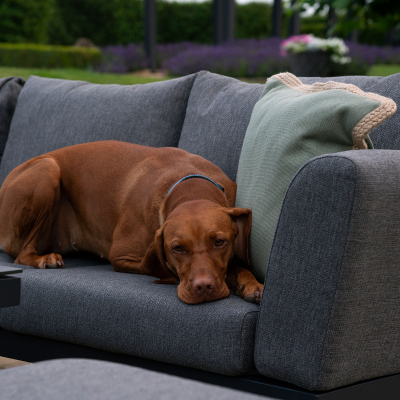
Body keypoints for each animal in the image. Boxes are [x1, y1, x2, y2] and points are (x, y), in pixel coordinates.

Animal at [0, 141, 262, 304]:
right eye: (177, 248)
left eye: (220, 242)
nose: (204, 287)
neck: (190, 187)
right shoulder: (122, 257)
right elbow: (161, 269)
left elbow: (237, 265)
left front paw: (251, 283)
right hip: (48, 168)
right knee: (21, 255)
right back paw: (45, 259)